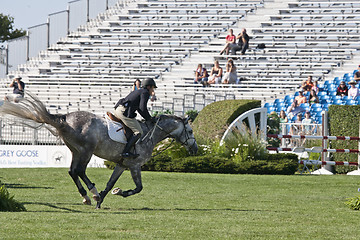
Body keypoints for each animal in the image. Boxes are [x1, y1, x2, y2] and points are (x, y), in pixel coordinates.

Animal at [0, 93, 197, 209]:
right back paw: (92, 193)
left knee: (72, 171)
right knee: (79, 171)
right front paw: (118, 193)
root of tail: (65, 117)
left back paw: (87, 197)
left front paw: (103, 198)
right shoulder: (134, 165)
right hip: (86, 150)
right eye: (190, 131)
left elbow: (110, 183)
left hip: (76, 151)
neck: (151, 133)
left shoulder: (122, 165)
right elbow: (138, 188)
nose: (195, 149)